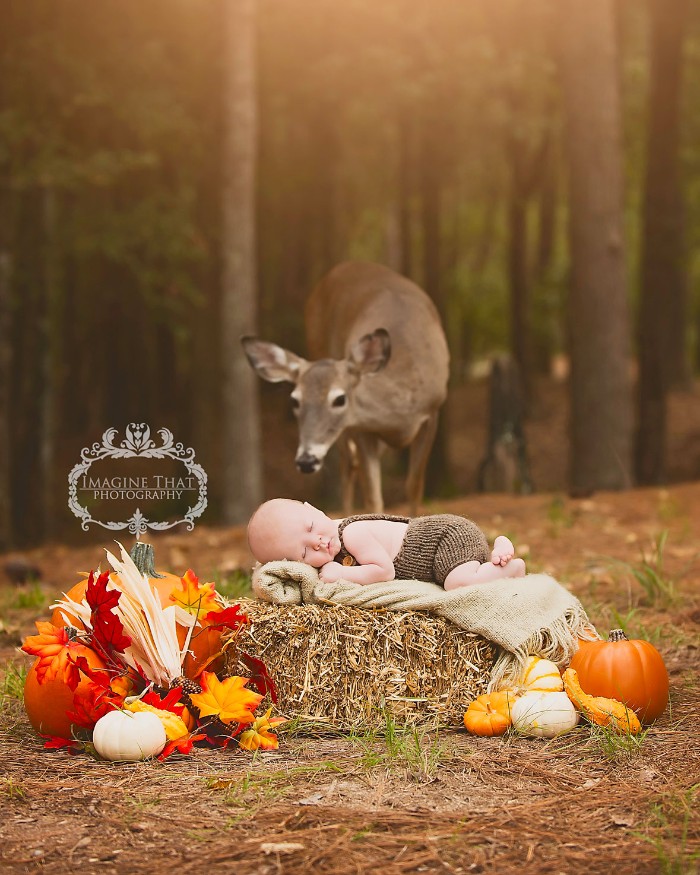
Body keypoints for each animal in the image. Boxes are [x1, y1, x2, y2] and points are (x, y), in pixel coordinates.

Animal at [241, 264, 448, 516]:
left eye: (339, 399)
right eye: (295, 401)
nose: (306, 461)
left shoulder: (432, 413)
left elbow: (414, 486)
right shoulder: (361, 427)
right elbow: (373, 497)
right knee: (347, 464)